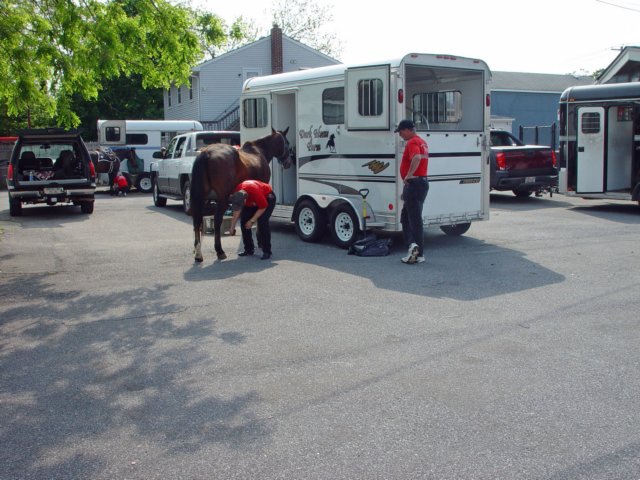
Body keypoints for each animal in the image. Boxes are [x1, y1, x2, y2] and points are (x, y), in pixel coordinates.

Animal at [189, 128, 292, 262]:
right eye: (287, 143)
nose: (288, 163)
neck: (259, 152)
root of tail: (206, 153)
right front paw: (260, 241)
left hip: (202, 199)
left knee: (197, 221)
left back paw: (198, 253)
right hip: (222, 199)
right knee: (217, 220)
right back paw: (220, 251)